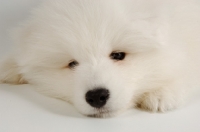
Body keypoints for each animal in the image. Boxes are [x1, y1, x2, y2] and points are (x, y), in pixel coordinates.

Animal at [0, 0, 200, 117]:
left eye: (118, 55)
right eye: (72, 63)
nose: (97, 96)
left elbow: (187, 70)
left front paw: (161, 93)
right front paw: (9, 65)